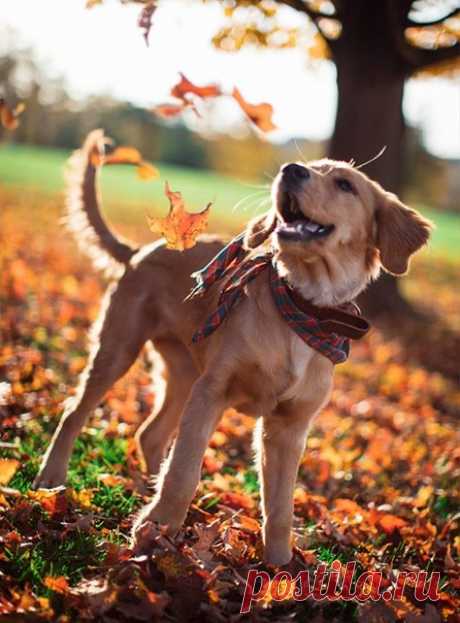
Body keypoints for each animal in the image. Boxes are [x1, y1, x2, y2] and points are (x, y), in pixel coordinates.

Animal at [33, 130, 432, 564]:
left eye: (345, 184)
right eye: (309, 166)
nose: (291, 170)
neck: (300, 306)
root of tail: (140, 251)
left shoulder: (289, 426)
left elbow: (280, 505)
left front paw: (279, 566)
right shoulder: (213, 390)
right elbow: (184, 469)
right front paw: (155, 529)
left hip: (183, 374)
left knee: (151, 435)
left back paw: (148, 490)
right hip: (120, 349)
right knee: (76, 412)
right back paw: (52, 479)